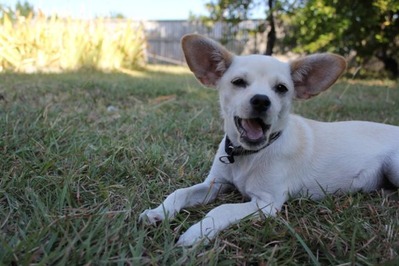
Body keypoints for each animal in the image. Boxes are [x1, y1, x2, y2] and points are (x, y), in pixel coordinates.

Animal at [140, 34, 399, 246]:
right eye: (238, 82)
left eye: (281, 88)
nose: (262, 100)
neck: (248, 156)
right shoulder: (215, 184)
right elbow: (180, 192)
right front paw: (158, 212)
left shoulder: (266, 202)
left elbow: (222, 209)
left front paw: (198, 232)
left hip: (393, 165)